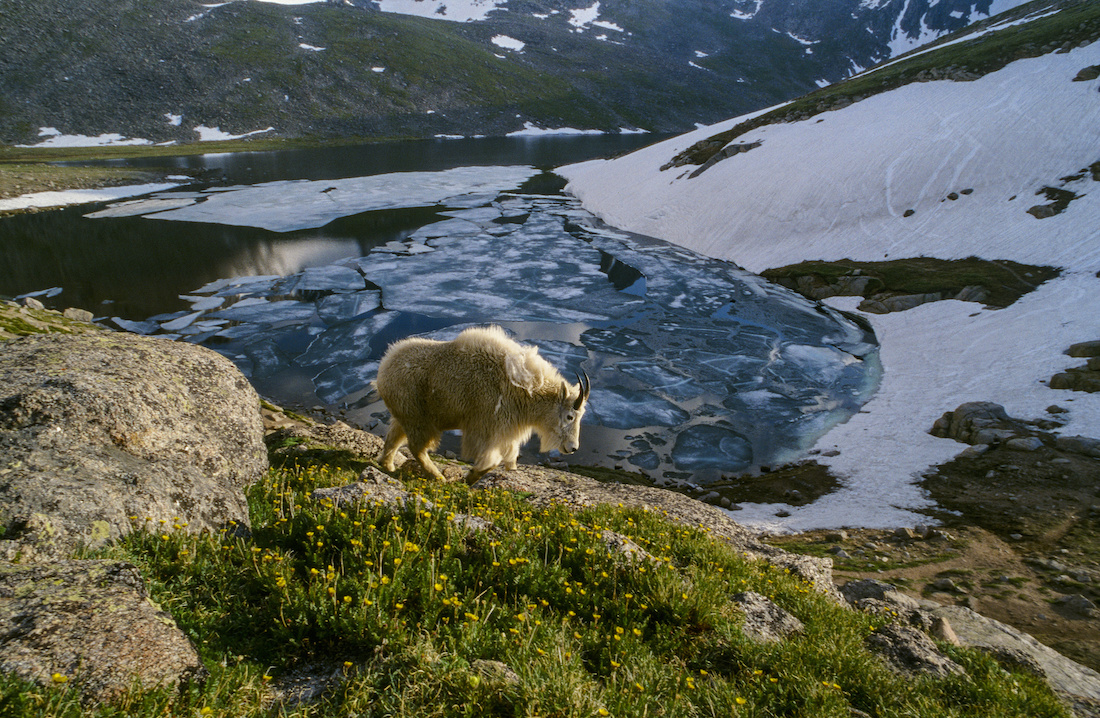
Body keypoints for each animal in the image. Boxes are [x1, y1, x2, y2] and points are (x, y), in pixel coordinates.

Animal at [376, 327, 589, 483]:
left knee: (394, 437)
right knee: (417, 447)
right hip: (418, 417)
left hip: (407, 414)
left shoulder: (507, 430)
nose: (573, 448)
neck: (524, 387)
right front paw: (470, 477)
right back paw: (437, 476)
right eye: (569, 416)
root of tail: (384, 366)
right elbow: (491, 461)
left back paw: (388, 465)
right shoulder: (487, 426)